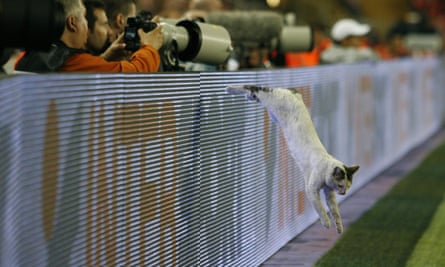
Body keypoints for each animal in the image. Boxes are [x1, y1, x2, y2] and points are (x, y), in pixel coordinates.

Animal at [227, 86, 360, 234]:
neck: (325, 166)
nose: (344, 193)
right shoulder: (311, 189)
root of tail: (288, 90)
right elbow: (320, 208)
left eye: (348, 186)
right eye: (341, 185)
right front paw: (326, 223)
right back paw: (230, 89)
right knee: (253, 89)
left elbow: (335, 211)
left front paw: (339, 227)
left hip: (273, 113)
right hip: (268, 99)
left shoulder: (329, 193)